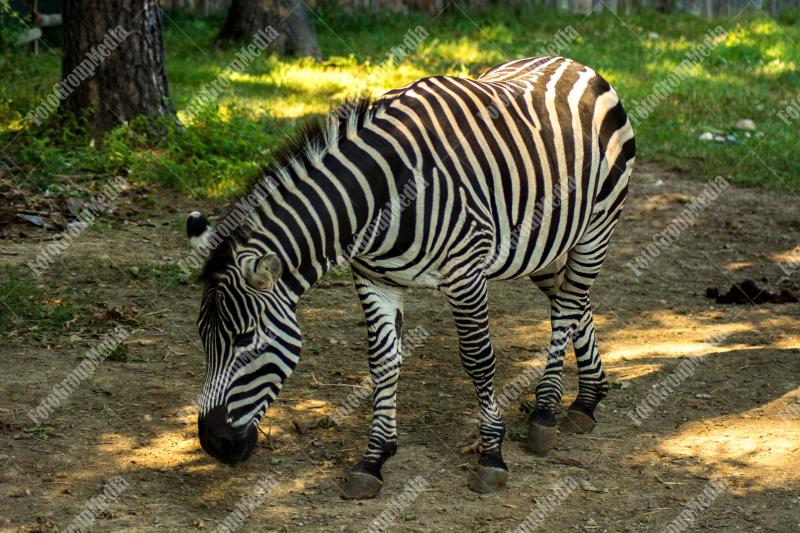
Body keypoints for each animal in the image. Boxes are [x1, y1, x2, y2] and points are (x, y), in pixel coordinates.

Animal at [186, 56, 635, 498]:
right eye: (203, 337)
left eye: (245, 339)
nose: (213, 443)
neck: (383, 197)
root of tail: (571, 62)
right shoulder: (374, 279)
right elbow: (383, 361)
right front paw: (373, 458)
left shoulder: (465, 273)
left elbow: (478, 359)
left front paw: (491, 455)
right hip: (544, 243)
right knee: (574, 301)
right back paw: (587, 399)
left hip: (597, 226)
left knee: (568, 305)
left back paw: (546, 412)